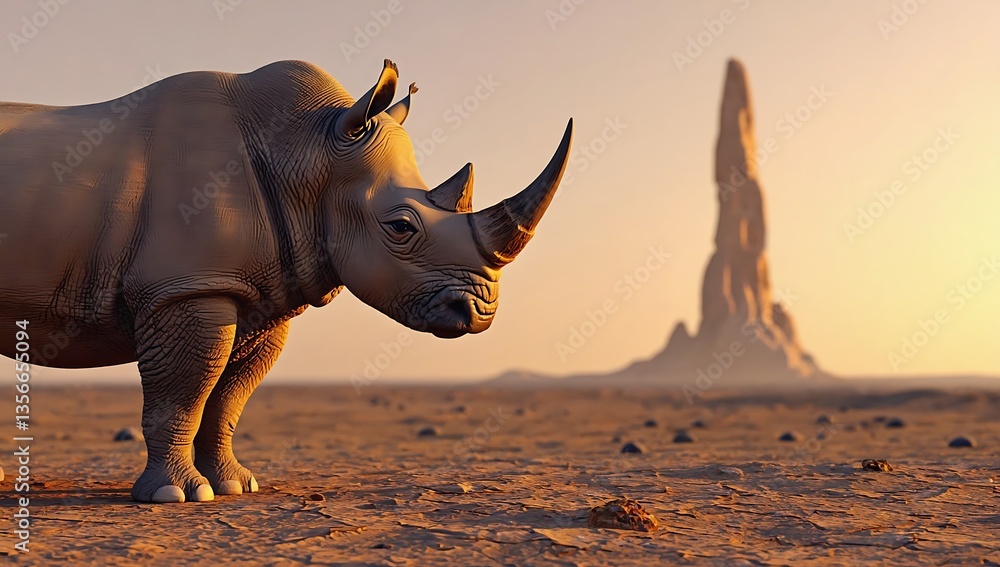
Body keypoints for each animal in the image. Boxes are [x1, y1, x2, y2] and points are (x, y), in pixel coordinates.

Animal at [0, 59, 572, 503]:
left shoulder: (258, 290)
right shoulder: (189, 286)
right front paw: (174, 495)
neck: (311, 150)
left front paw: (234, 486)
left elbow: (228, 398)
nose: (480, 313)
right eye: (400, 228)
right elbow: (182, 394)